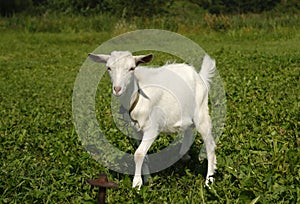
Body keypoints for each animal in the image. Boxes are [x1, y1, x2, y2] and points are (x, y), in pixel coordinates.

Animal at [88, 51, 217, 190]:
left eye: (132, 68)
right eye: (109, 68)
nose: (117, 89)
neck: (137, 97)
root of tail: (199, 76)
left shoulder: (152, 128)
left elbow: (138, 154)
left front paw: (137, 184)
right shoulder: (136, 130)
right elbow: (143, 156)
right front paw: (148, 180)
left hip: (201, 112)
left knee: (210, 145)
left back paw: (209, 181)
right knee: (188, 132)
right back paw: (184, 157)